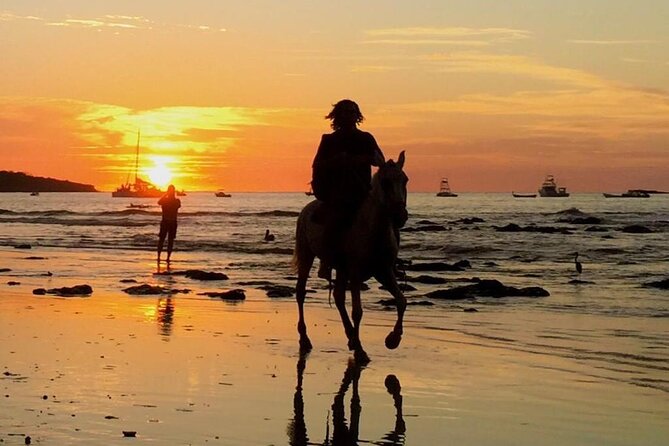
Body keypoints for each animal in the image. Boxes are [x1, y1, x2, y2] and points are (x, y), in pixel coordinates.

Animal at [292, 151, 408, 362]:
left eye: (405, 180)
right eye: (385, 182)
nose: (400, 215)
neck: (373, 231)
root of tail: (306, 210)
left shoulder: (384, 271)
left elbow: (402, 301)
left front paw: (392, 339)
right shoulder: (355, 273)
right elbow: (358, 311)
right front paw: (361, 351)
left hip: (340, 268)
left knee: (338, 297)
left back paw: (351, 337)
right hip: (307, 255)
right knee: (300, 293)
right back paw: (305, 339)